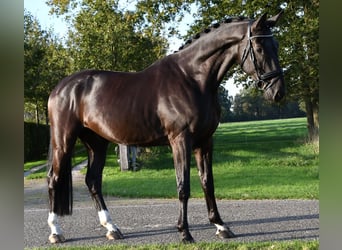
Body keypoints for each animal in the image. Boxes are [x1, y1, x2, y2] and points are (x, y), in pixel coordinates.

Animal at [46, 12, 284, 244]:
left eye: (276, 45)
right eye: (260, 48)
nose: (278, 92)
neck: (192, 78)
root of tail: (60, 88)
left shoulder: (205, 141)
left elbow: (208, 182)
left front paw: (221, 226)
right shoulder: (180, 140)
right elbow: (183, 185)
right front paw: (184, 233)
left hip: (96, 143)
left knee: (93, 181)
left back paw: (112, 228)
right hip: (63, 142)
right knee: (54, 179)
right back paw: (56, 232)